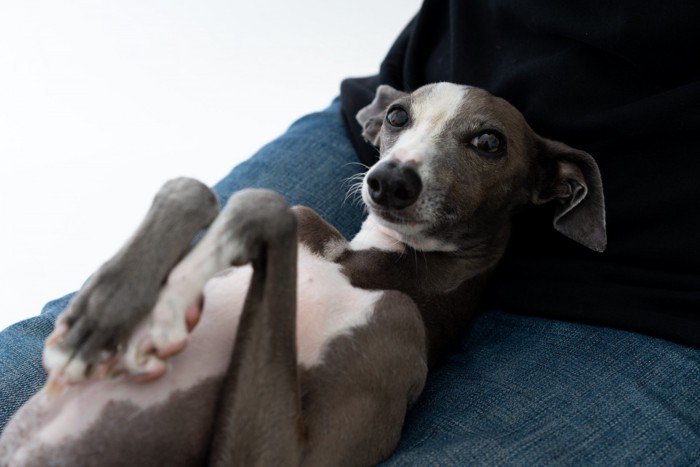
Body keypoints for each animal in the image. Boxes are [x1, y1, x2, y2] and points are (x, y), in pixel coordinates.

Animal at [0, 82, 600, 466]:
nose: (390, 181)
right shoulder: (305, 221)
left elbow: (261, 200)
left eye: (489, 142)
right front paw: (101, 319)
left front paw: (153, 318)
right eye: (398, 116)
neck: (368, 267)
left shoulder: (386, 344)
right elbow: (200, 189)